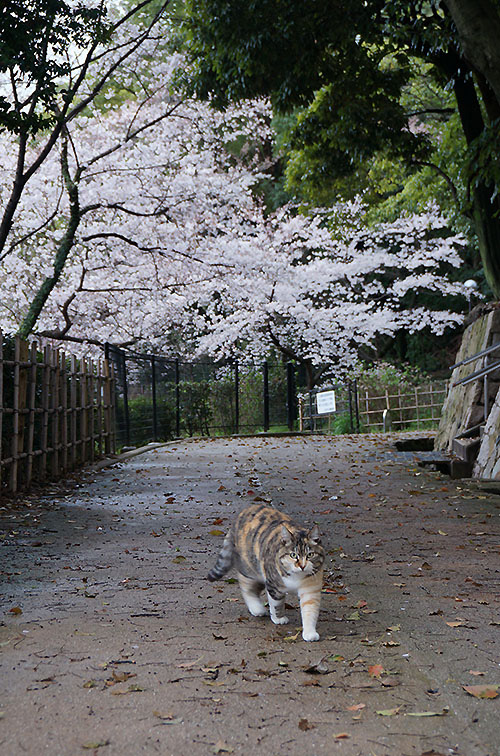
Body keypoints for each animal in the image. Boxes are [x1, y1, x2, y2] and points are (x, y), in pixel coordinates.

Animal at [207, 504, 324, 640]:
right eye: (293, 555)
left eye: (310, 555)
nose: (302, 566)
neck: (297, 577)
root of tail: (243, 512)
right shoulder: (274, 584)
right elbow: (277, 603)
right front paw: (279, 618)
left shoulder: (311, 588)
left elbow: (310, 611)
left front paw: (310, 633)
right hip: (252, 567)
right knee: (245, 584)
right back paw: (257, 608)